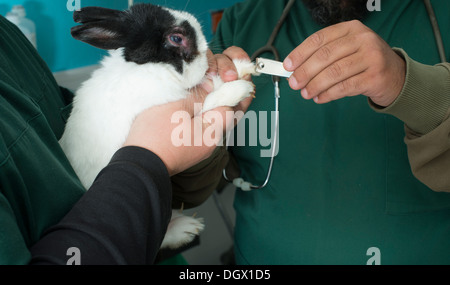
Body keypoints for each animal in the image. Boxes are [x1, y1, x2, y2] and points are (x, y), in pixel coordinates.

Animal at [59, 2, 256, 248]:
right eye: (176, 38)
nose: (205, 55)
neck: (153, 68)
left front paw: (243, 67)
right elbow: (211, 99)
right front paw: (239, 88)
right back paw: (186, 229)